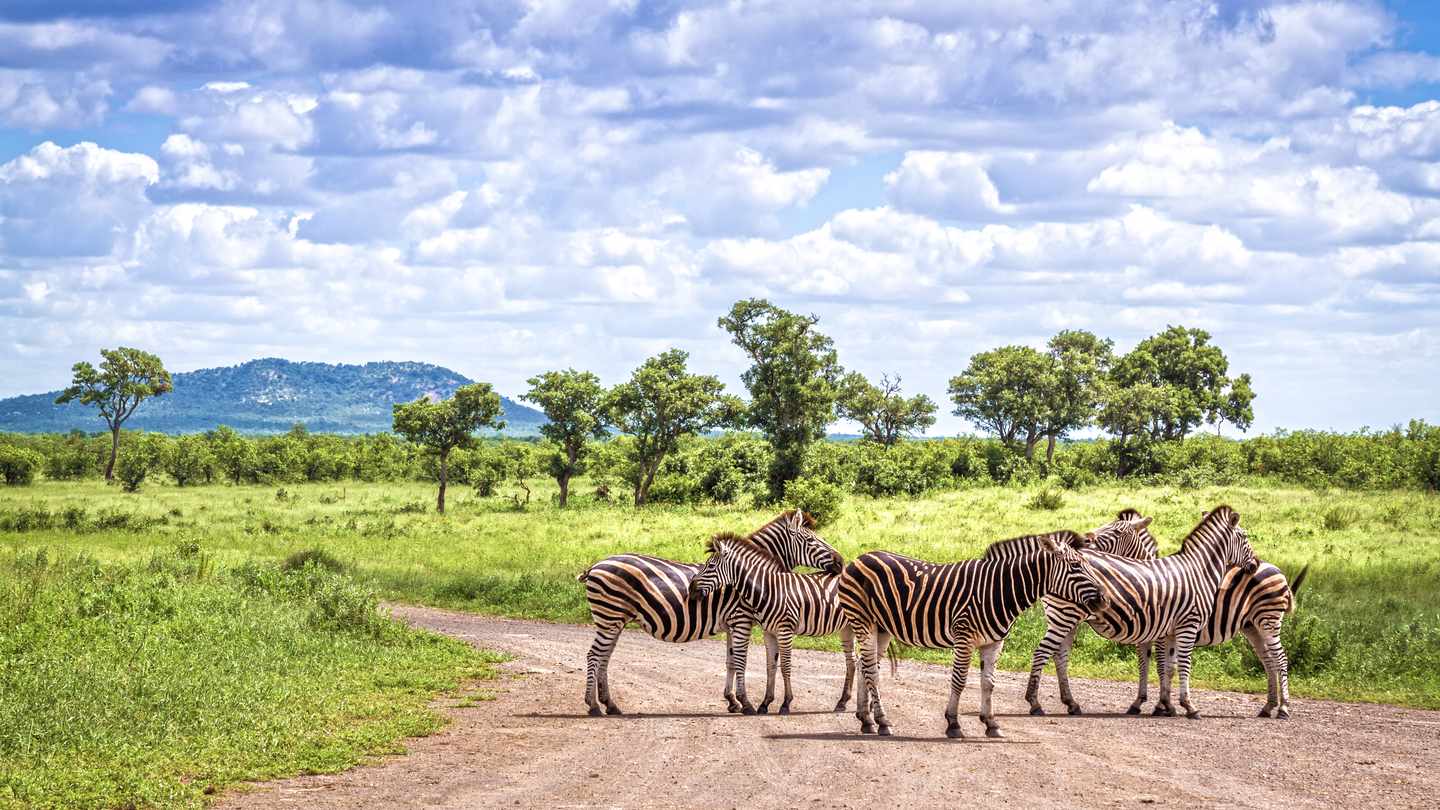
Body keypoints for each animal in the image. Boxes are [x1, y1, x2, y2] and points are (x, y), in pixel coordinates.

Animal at [576, 509, 842, 717]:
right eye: (811, 540)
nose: (840, 562)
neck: (752, 578)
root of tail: (595, 565)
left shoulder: (733, 623)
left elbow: (730, 661)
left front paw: (732, 701)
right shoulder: (741, 619)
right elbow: (741, 661)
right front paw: (745, 703)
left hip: (615, 620)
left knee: (604, 657)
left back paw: (609, 705)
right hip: (610, 617)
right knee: (594, 656)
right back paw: (593, 706)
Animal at [688, 532, 859, 715]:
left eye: (711, 566)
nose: (691, 589)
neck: (768, 589)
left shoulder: (785, 630)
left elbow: (785, 666)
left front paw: (786, 703)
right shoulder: (768, 632)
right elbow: (770, 666)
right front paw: (765, 703)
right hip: (846, 627)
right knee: (852, 661)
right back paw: (842, 702)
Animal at [838, 531, 1108, 739]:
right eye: (1076, 566)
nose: (1104, 600)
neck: (999, 590)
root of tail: (859, 558)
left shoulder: (994, 642)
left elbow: (988, 683)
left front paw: (991, 723)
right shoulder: (964, 637)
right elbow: (959, 680)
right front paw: (953, 723)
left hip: (881, 628)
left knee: (865, 666)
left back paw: (866, 720)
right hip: (863, 621)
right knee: (871, 670)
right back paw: (882, 721)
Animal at [1016, 505, 1258, 720]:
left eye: (1117, 531)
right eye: (1245, 537)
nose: (1255, 565)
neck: (1198, 571)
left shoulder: (1162, 629)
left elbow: (1162, 666)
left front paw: (1162, 705)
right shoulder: (1184, 625)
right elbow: (1176, 665)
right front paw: (1184, 706)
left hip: (1067, 619)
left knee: (1060, 655)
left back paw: (1071, 703)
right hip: (1065, 615)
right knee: (1042, 652)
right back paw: (1035, 703)